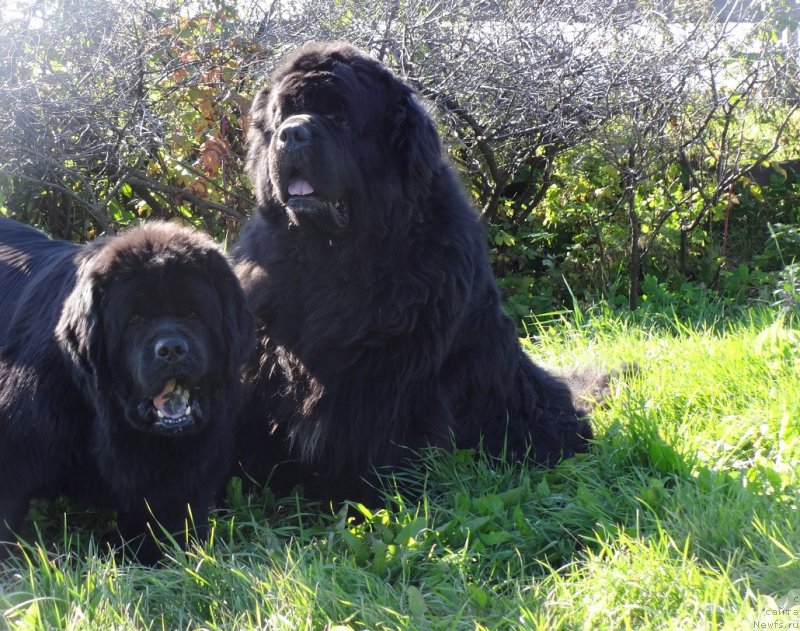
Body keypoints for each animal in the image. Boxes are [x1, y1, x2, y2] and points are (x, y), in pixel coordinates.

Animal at [233, 42, 592, 502]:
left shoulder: (391, 375)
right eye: (283, 115)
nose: (292, 133)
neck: (332, 257)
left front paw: (368, 500)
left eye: (340, 117)